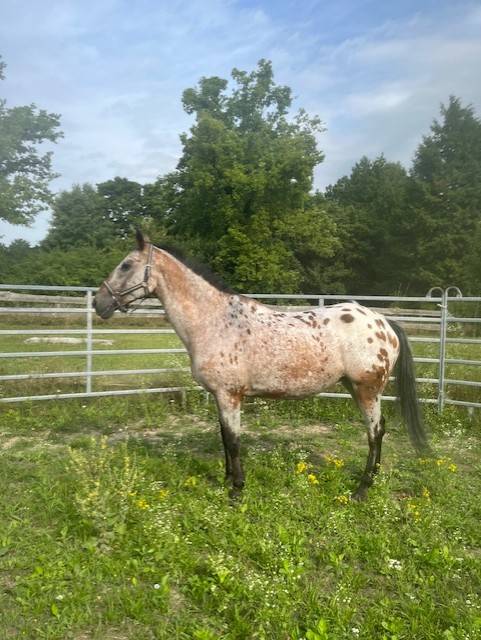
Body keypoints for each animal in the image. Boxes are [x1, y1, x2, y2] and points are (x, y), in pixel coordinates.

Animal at [94, 230, 429, 501]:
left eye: (126, 265)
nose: (99, 303)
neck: (214, 321)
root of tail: (383, 322)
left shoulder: (229, 395)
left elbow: (233, 440)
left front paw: (237, 490)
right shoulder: (221, 396)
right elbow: (223, 437)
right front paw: (227, 480)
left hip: (367, 390)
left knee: (376, 433)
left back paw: (362, 490)